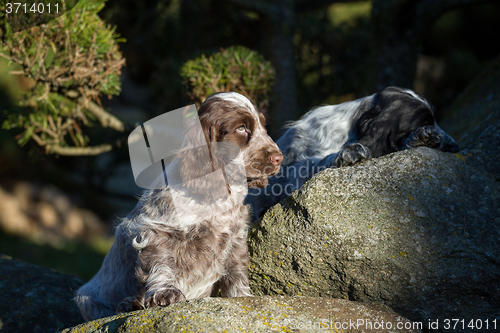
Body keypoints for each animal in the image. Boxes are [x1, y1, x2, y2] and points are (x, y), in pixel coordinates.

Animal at [75, 92, 284, 320]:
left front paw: (242, 296)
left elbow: (236, 269)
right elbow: (161, 264)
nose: (279, 158)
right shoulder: (157, 230)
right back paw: (129, 304)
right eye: (241, 128)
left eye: (263, 126)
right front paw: (165, 293)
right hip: (86, 299)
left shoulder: (235, 236)